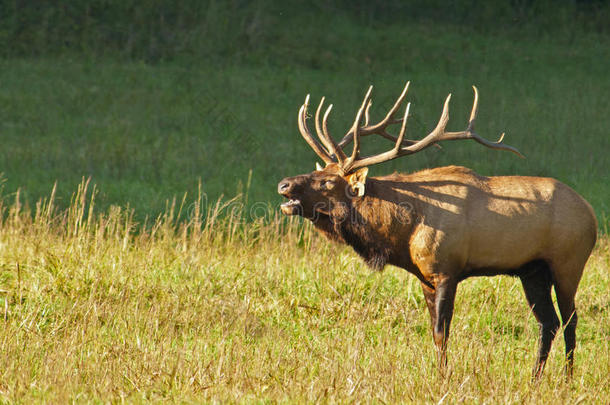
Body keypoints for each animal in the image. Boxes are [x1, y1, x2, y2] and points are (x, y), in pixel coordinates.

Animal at [278, 82, 596, 378]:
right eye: (317, 171)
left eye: (328, 182)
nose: (284, 184)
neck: (404, 234)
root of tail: (591, 213)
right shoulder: (425, 277)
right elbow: (433, 331)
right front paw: (438, 371)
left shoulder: (446, 270)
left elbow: (443, 332)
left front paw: (444, 376)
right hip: (532, 271)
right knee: (548, 322)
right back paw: (535, 378)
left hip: (568, 263)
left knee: (570, 320)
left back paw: (567, 377)